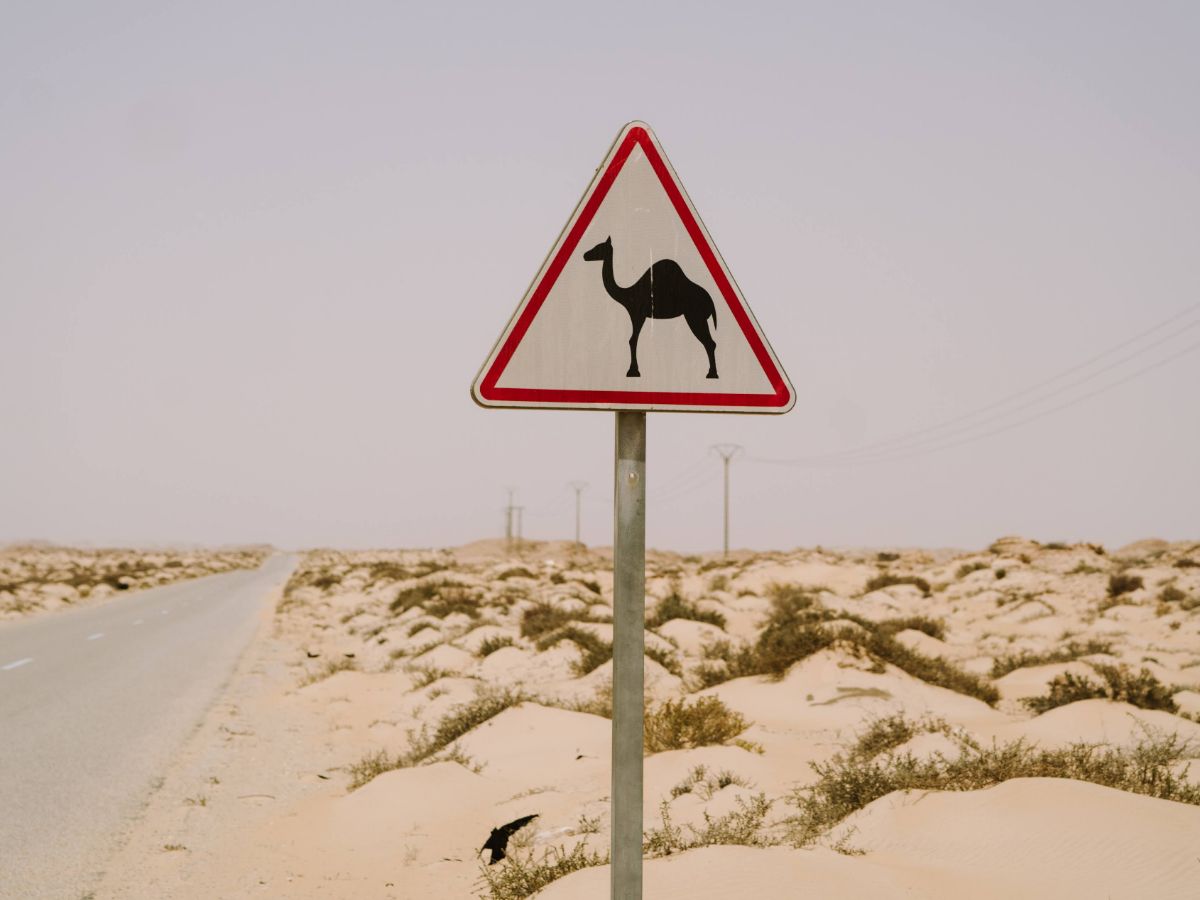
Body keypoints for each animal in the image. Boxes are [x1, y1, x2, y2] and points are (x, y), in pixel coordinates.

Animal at [582, 236, 718, 379]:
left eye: (599, 247)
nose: (585, 255)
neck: (628, 293)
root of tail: (710, 301)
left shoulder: (637, 314)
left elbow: (632, 340)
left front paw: (633, 371)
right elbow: (633, 339)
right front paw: (634, 370)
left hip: (695, 316)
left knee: (709, 342)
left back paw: (712, 374)